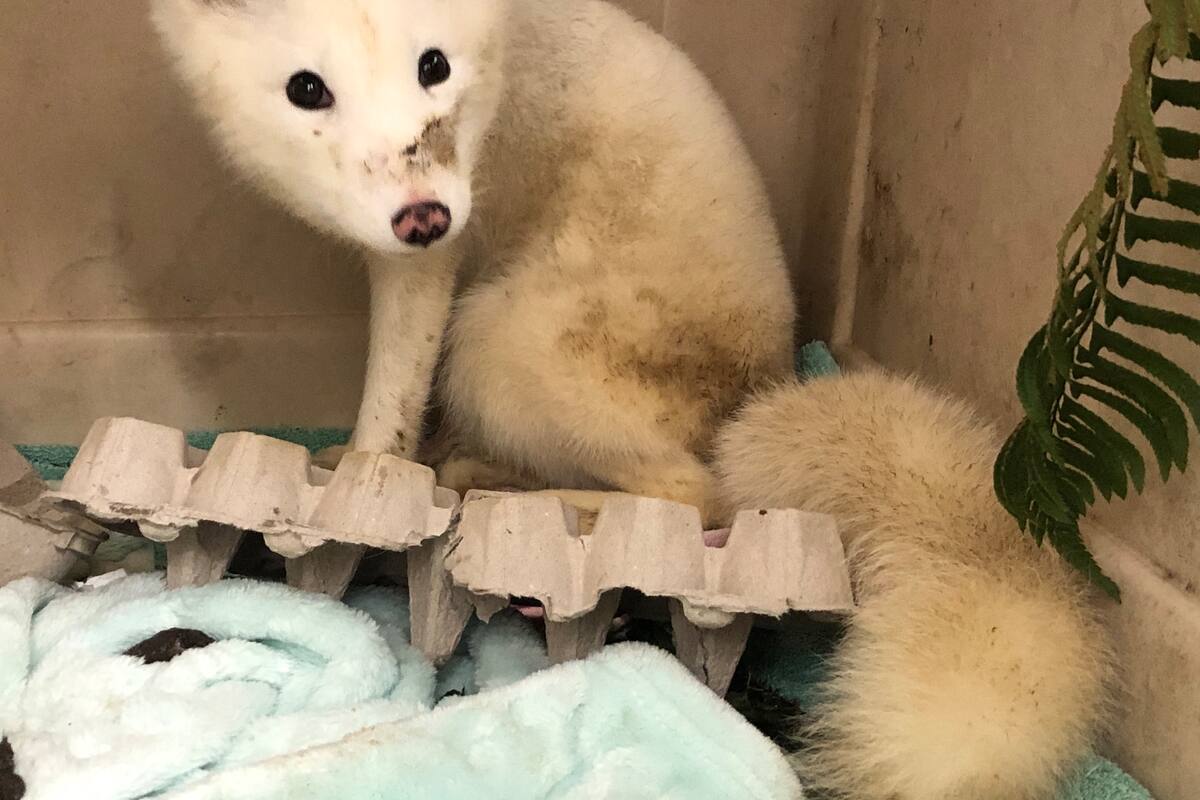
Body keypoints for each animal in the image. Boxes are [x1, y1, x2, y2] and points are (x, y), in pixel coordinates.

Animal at [152, 1, 1112, 798]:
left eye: (435, 68)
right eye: (306, 89)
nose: (424, 212)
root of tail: (766, 383)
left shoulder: (429, 270)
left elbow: (388, 395)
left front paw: (362, 473)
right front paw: (359, 465)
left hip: (495, 340)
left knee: (696, 495)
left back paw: (525, 496)